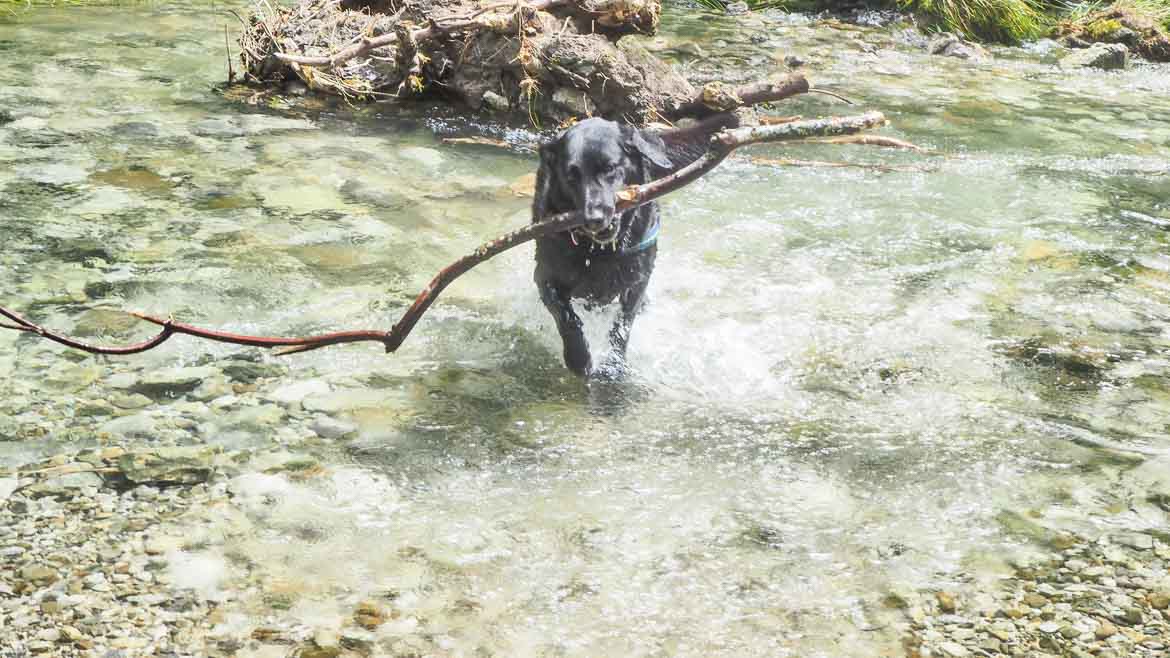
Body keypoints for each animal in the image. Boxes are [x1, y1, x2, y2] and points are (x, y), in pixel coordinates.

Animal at [533, 115, 678, 377]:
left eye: (610, 168)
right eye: (571, 176)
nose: (594, 218)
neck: (599, 250)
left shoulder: (637, 281)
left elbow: (623, 324)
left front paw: (614, 365)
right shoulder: (544, 276)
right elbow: (566, 317)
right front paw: (578, 359)